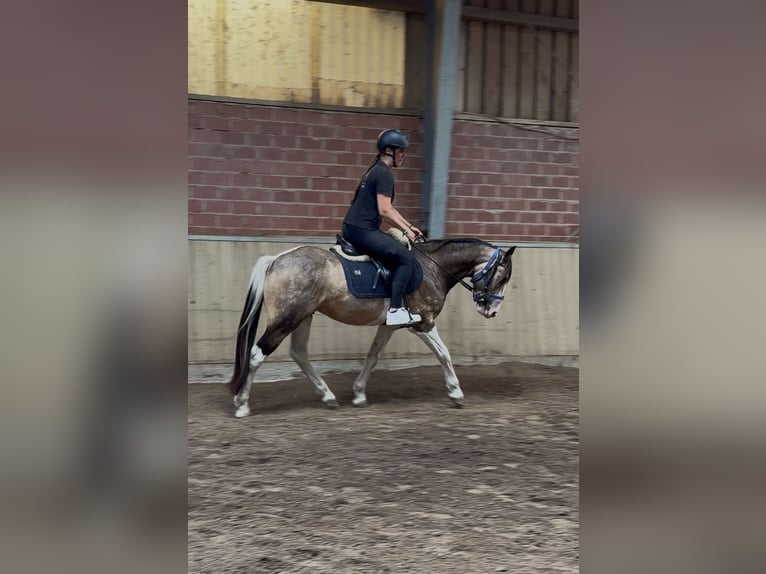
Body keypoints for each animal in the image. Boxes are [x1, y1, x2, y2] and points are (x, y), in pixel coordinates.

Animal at [227, 236, 517, 418]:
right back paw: (241, 404)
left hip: (303, 317)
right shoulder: (422, 323)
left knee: (298, 353)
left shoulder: (390, 325)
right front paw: (456, 392)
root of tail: (276, 259)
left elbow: (373, 356)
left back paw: (328, 396)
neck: (431, 267)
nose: (491, 311)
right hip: (287, 319)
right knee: (257, 354)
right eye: (502, 277)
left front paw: (358, 394)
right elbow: (444, 353)